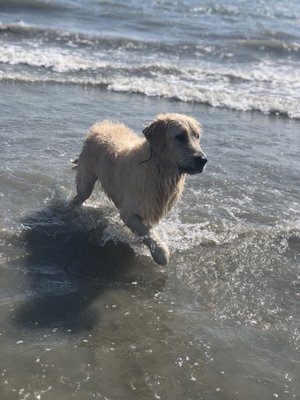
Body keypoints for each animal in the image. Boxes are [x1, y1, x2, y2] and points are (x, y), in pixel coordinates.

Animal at [71, 112, 206, 264]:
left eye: (197, 136)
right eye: (180, 136)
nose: (203, 160)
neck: (158, 170)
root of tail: (101, 125)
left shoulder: (152, 208)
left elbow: (148, 231)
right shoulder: (129, 212)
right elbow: (149, 235)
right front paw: (160, 253)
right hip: (86, 183)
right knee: (78, 198)